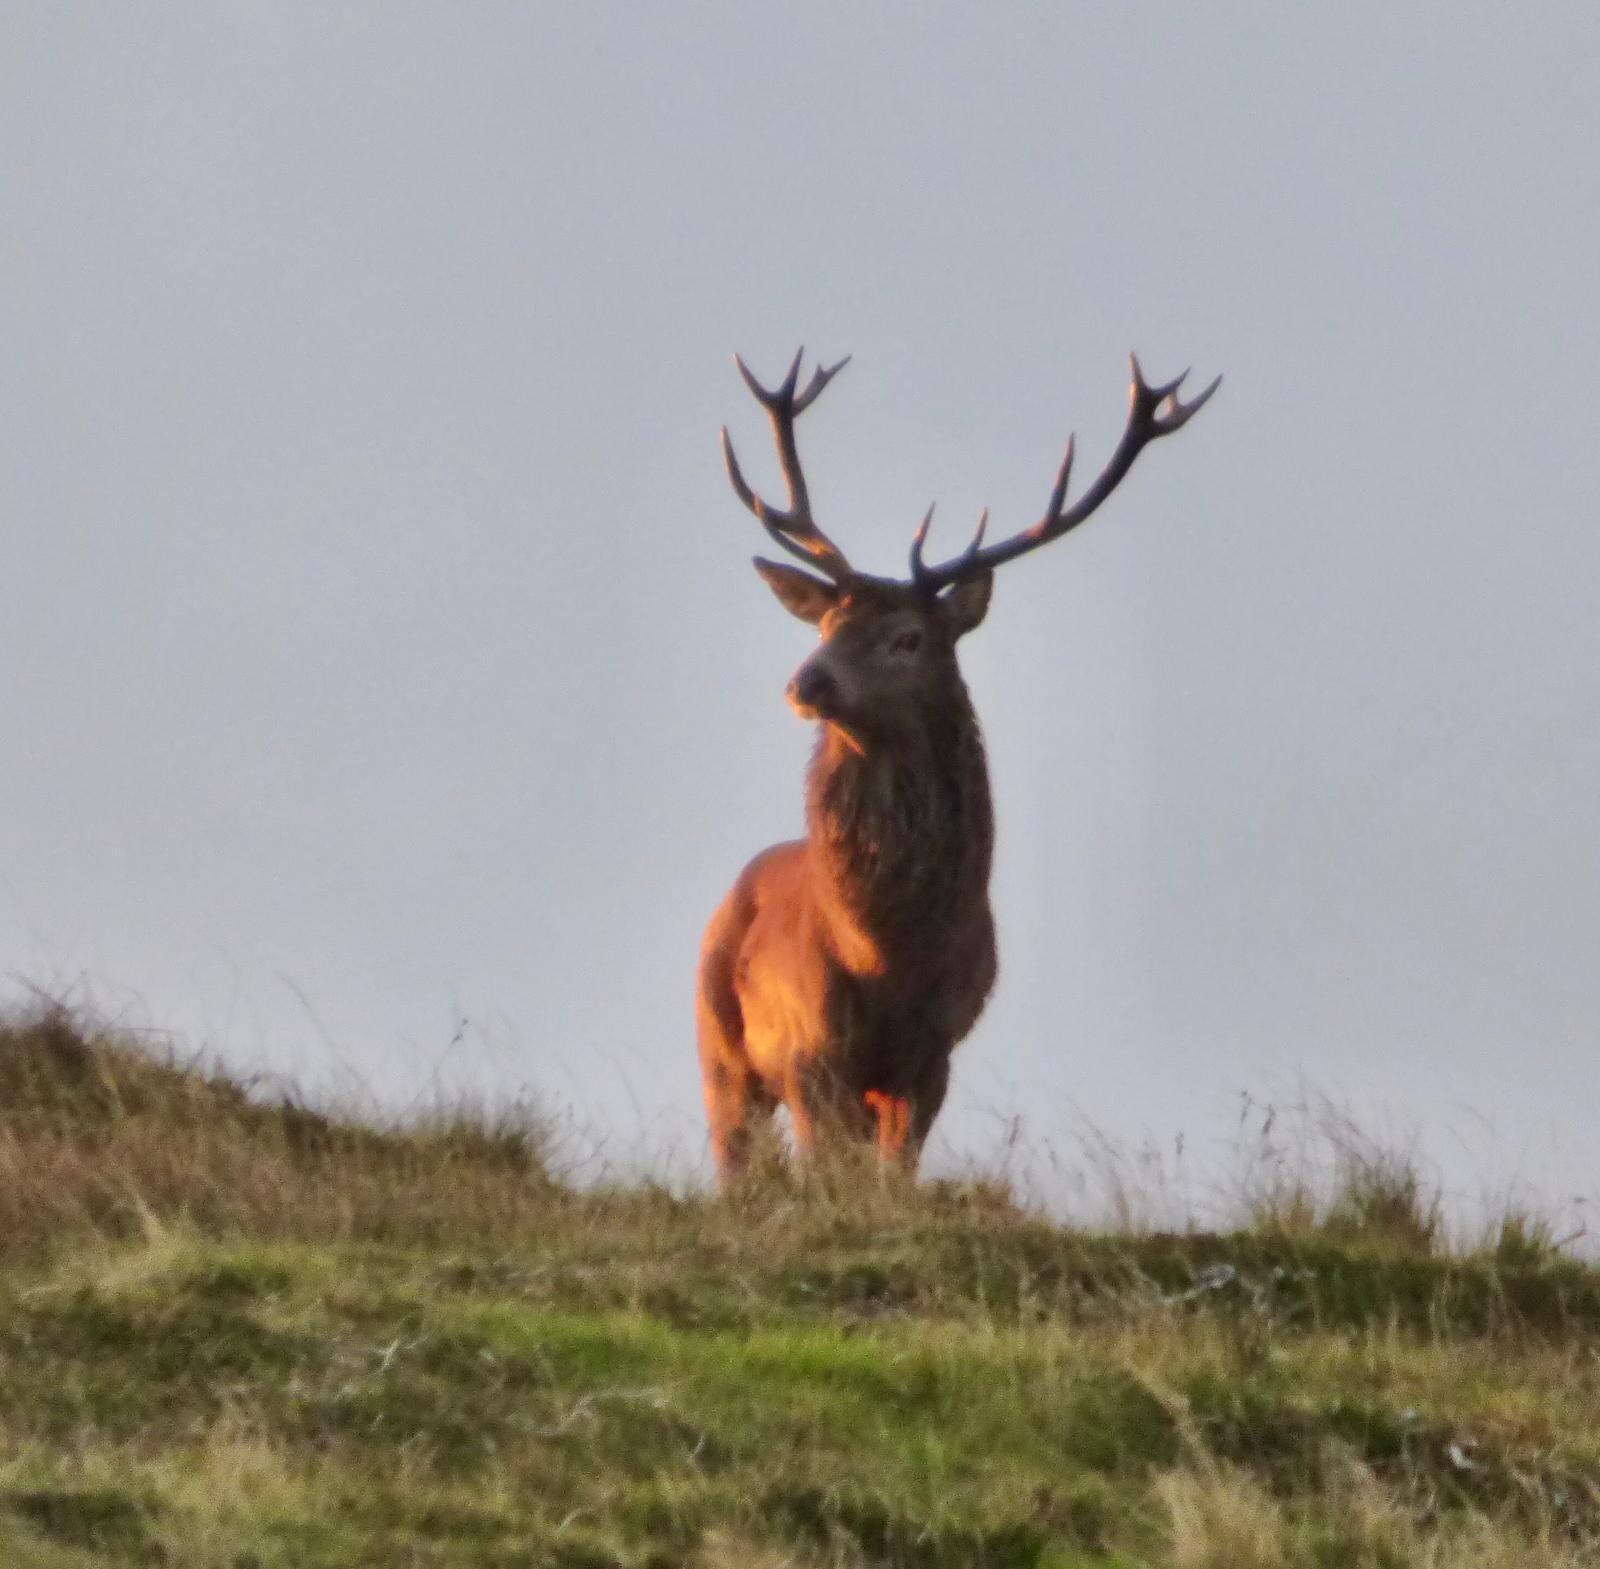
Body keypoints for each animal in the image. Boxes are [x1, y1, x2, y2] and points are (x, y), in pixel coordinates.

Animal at [696, 349, 1218, 1184]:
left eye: (908, 638)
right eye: (828, 623)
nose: (805, 682)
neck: (889, 954)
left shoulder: (935, 1052)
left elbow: (895, 1179)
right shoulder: (813, 1048)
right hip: (717, 1043)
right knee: (733, 1157)